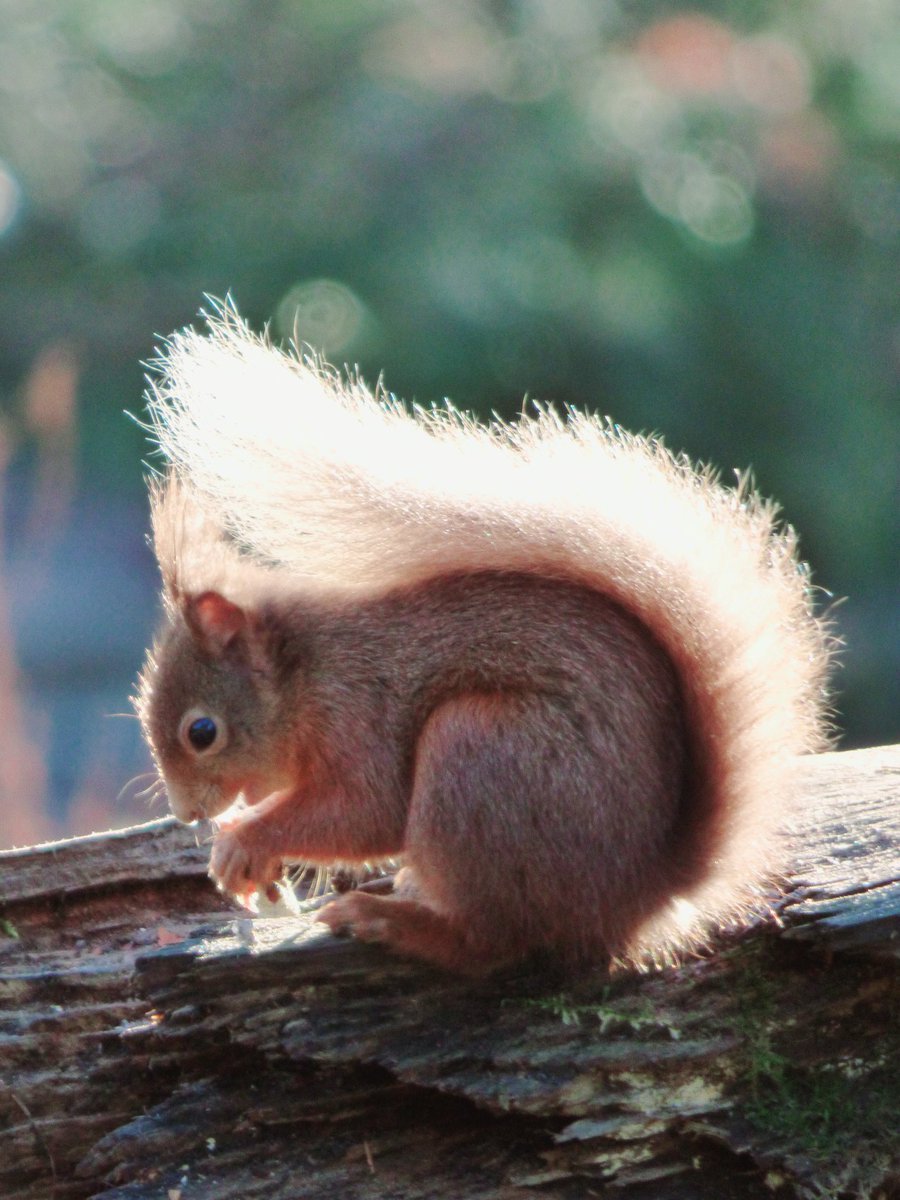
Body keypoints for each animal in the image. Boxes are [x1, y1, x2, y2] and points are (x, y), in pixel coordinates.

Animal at [137, 301, 834, 975]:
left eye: (202, 732)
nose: (188, 815)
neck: (305, 671)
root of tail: (642, 893)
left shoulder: (358, 712)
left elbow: (367, 809)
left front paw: (243, 842)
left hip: (478, 755)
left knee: (490, 942)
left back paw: (390, 921)